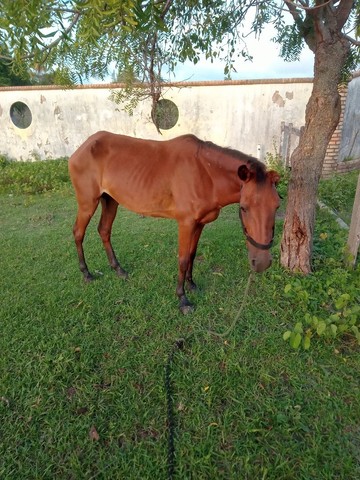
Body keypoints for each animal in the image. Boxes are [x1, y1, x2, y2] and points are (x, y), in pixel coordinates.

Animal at [68, 131, 282, 314]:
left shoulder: (199, 223)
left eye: (277, 206)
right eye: (244, 207)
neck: (205, 173)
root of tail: (83, 147)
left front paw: (191, 285)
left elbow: (192, 255)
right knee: (78, 232)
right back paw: (86, 273)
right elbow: (183, 259)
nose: (262, 262)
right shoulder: (185, 224)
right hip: (88, 202)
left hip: (110, 200)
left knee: (104, 230)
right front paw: (182, 299)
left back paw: (118, 269)